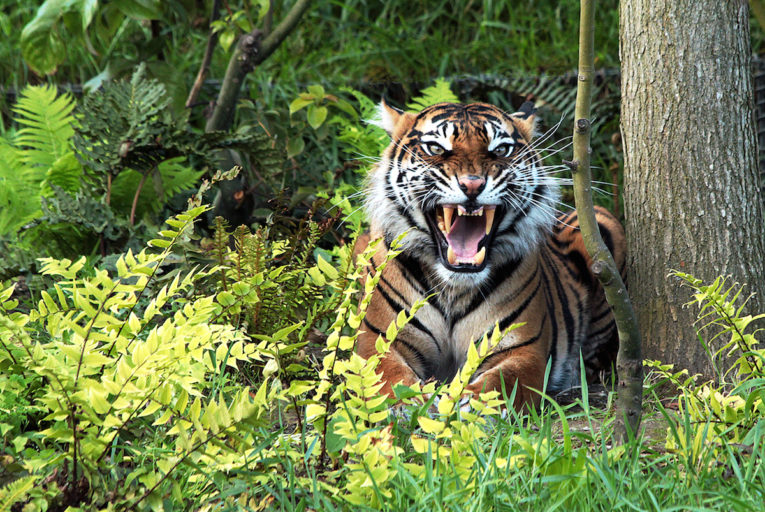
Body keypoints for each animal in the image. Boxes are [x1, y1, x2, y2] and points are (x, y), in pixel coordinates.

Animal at [356, 100, 624, 410]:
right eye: (435, 148)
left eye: (500, 150)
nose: (472, 185)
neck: (453, 289)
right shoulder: (378, 339)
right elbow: (384, 375)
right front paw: (407, 402)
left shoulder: (521, 349)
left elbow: (503, 382)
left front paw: (469, 405)